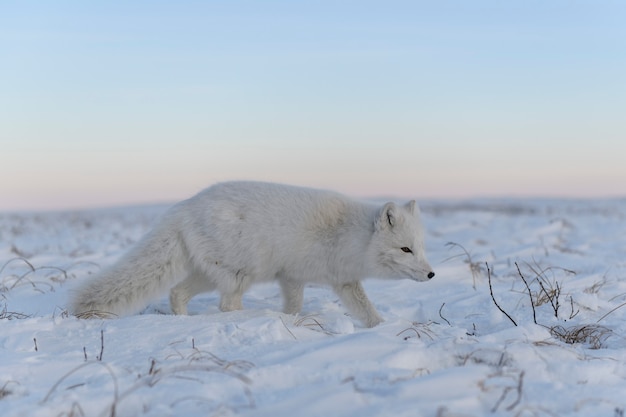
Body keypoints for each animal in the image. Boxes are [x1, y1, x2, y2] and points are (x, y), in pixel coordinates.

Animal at [70, 180, 432, 326]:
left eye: (421, 248)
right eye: (405, 249)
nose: (431, 274)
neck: (350, 235)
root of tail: (184, 207)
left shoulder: (322, 279)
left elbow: (359, 309)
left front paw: (380, 328)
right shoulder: (304, 277)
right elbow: (301, 306)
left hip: (210, 274)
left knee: (176, 292)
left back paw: (183, 321)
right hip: (240, 273)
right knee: (226, 305)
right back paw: (244, 318)